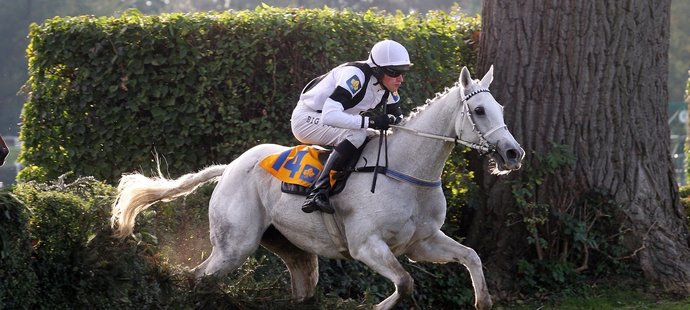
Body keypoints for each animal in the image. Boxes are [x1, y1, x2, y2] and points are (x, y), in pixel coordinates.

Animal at [111, 65, 520, 308]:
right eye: (479, 111)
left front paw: (483, 301)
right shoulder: (366, 245)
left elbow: (472, 257)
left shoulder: (423, 243)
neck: (407, 172)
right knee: (198, 277)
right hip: (234, 245)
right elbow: (404, 283)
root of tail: (229, 168)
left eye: (500, 107)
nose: (513, 153)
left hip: (293, 251)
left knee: (301, 286)